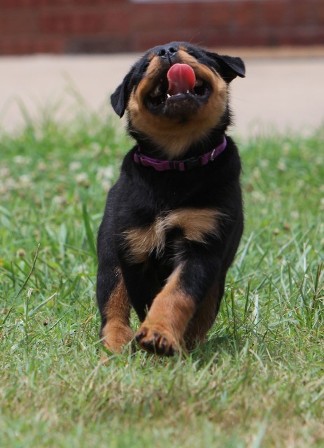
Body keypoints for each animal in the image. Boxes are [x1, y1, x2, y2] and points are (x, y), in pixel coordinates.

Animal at [96, 43, 246, 356]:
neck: (176, 164)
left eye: (196, 54)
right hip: (109, 256)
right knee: (112, 303)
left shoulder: (202, 246)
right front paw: (150, 337)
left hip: (218, 277)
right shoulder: (136, 248)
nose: (167, 49)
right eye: (143, 67)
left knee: (205, 309)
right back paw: (117, 343)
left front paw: (160, 334)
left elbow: (177, 293)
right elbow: (146, 299)